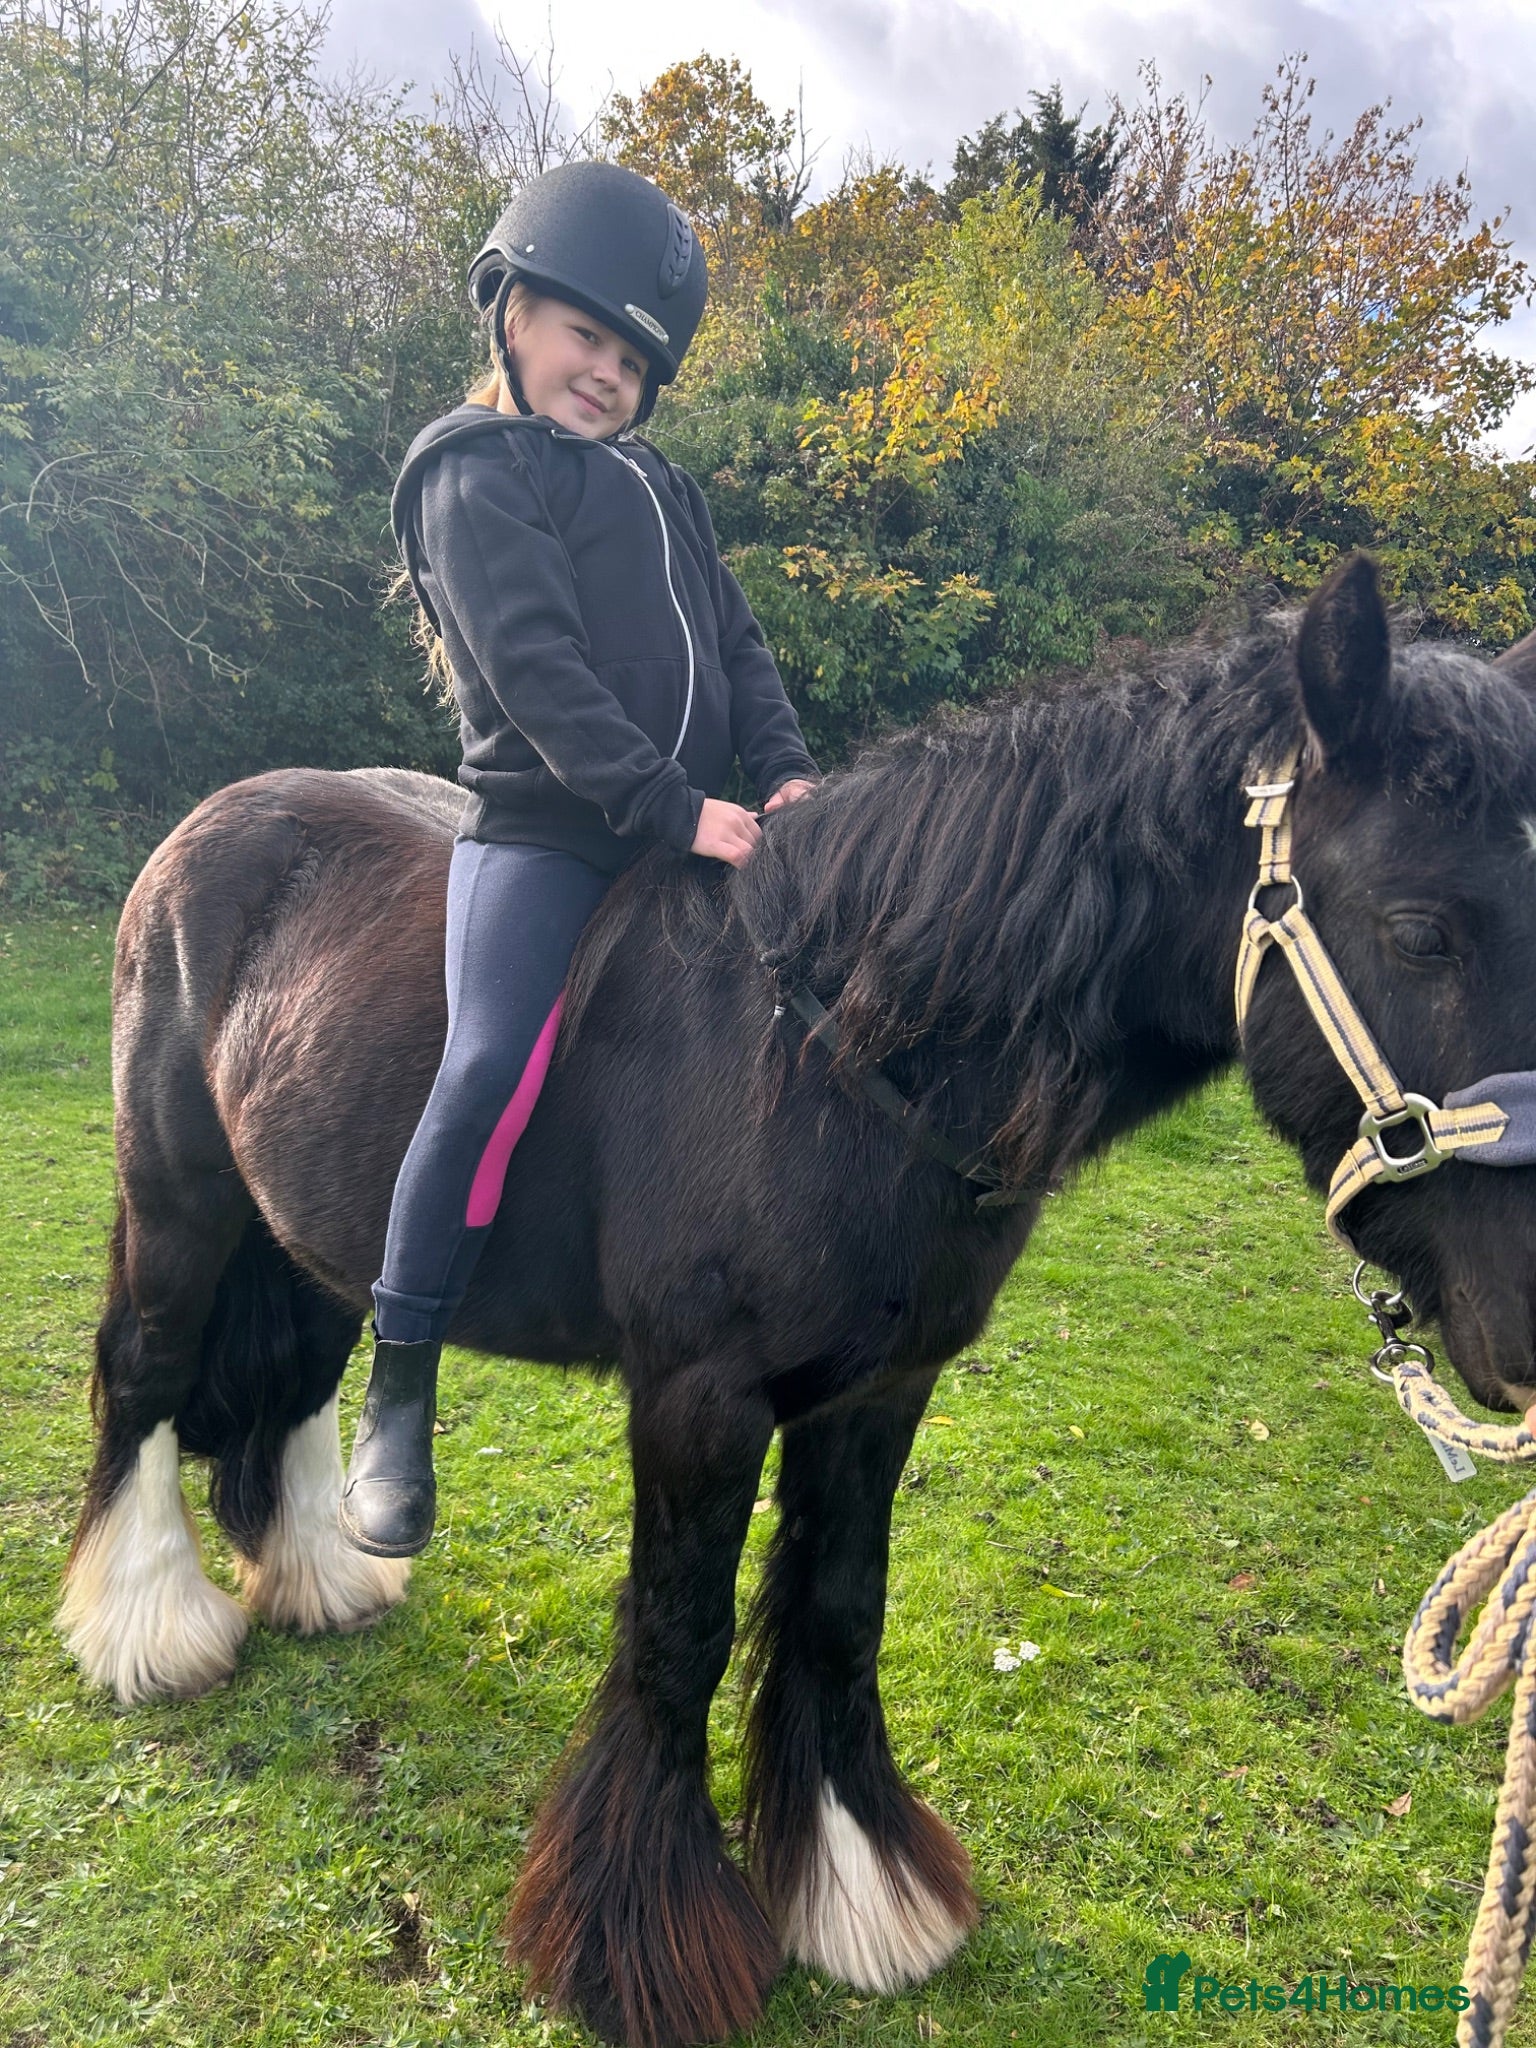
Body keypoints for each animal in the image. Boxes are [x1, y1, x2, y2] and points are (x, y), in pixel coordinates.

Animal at [58, 555, 1536, 2047]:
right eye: (1420, 930)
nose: (1523, 1326)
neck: (830, 1059)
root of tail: (206, 831)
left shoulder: (878, 1393)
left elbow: (836, 1610)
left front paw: (862, 1892)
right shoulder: (699, 1404)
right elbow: (681, 1633)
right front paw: (640, 1949)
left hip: (302, 1230)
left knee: (298, 1377)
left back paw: (321, 1575)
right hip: (181, 1206)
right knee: (143, 1375)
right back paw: (149, 1631)